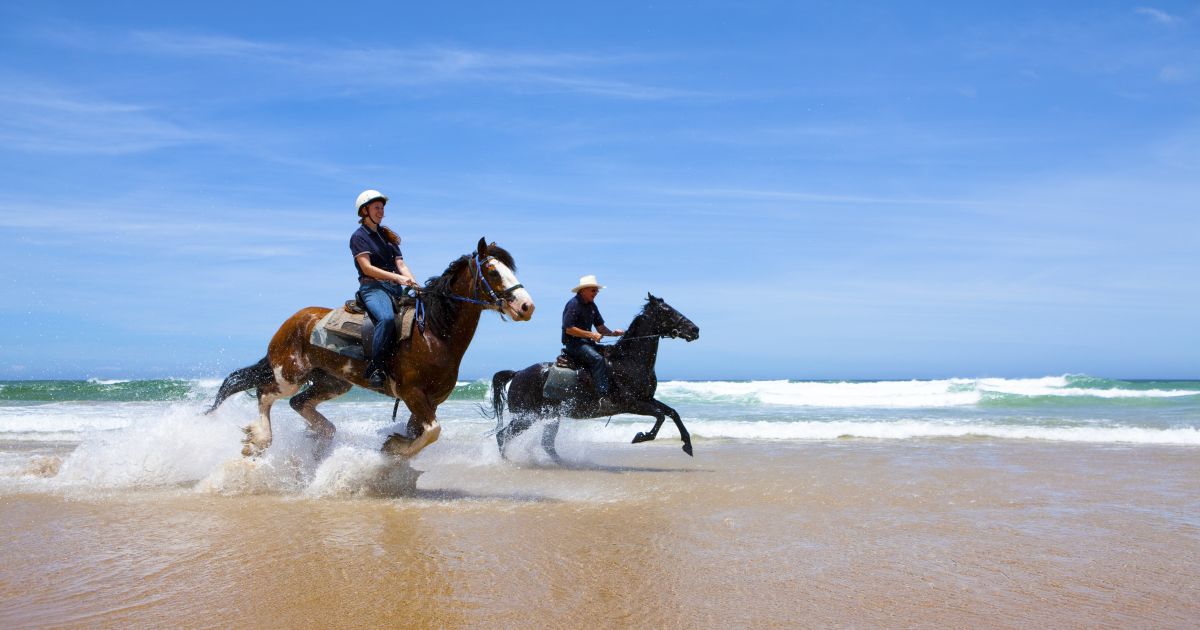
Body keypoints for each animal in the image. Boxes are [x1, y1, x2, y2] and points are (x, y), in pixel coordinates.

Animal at [208, 235, 532, 456]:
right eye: (493, 272)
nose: (527, 306)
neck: (434, 334)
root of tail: (292, 321)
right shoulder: (412, 393)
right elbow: (433, 431)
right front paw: (396, 449)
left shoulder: (431, 401)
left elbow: (422, 432)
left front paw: (395, 448)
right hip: (289, 374)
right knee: (265, 394)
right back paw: (259, 439)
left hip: (333, 382)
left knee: (298, 403)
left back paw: (323, 435)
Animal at [487, 292, 700, 458]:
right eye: (667, 311)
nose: (694, 329)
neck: (628, 361)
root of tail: (517, 374)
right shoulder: (631, 403)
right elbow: (660, 416)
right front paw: (641, 437)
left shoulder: (646, 399)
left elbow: (672, 413)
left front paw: (687, 445)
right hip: (526, 417)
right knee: (502, 436)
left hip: (548, 417)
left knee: (545, 444)